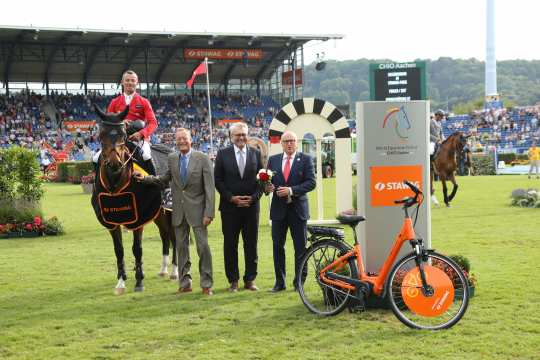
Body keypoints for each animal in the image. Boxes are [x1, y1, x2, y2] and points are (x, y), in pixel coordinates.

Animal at [92, 105, 177, 296]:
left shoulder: (139, 219)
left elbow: (137, 249)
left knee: (175, 237)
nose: (114, 163)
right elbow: (119, 250)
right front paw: (121, 281)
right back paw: (163, 269)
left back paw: (175, 271)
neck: (115, 184)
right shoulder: (112, 221)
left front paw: (139, 281)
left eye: (123, 134)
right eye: (101, 134)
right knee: (165, 235)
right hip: (159, 213)